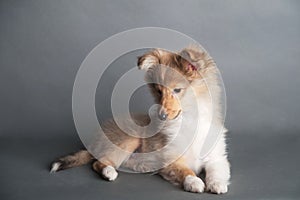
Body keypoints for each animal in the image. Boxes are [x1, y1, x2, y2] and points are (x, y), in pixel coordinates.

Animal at [51, 45, 230, 194]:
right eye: (159, 91)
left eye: (177, 90)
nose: (161, 115)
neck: (190, 121)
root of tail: (95, 141)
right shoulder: (171, 158)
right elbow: (185, 171)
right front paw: (194, 181)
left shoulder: (217, 157)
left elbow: (217, 170)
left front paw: (217, 184)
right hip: (129, 138)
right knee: (99, 162)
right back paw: (109, 172)